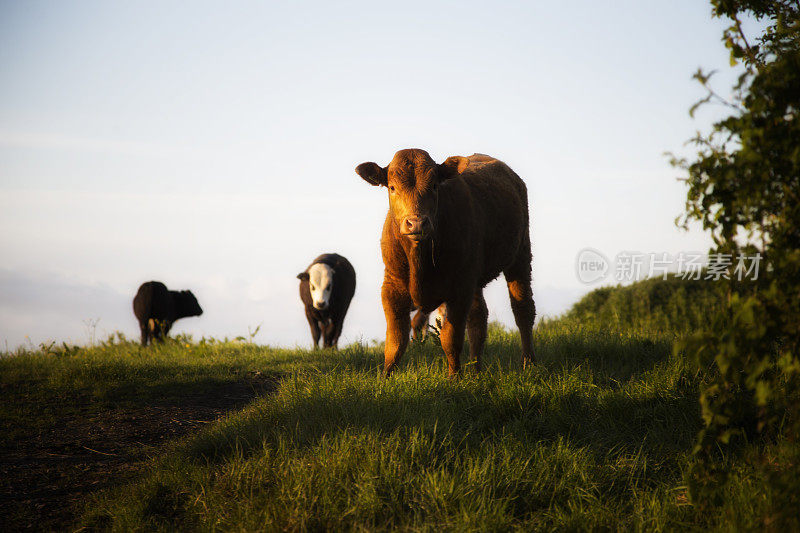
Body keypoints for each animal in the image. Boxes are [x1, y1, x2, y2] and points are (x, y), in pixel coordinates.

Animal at [354, 148, 536, 376]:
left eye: (434, 186)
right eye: (392, 187)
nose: (416, 223)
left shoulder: (460, 288)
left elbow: (451, 338)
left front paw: (454, 378)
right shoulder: (392, 285)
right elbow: (395, 341)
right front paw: (385, 378)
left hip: (521, 254)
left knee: (523, 310)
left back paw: (528, 364)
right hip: (476, 276)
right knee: (478, 318)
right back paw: (475, 370)